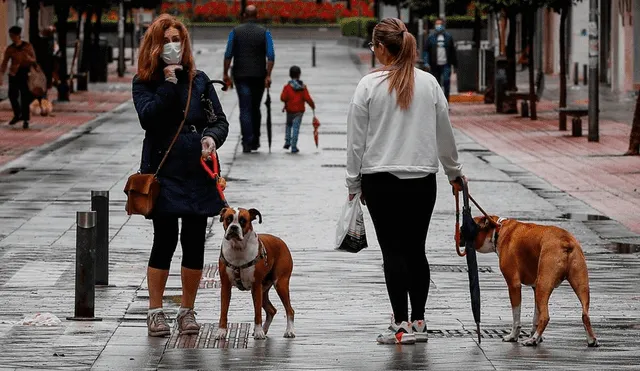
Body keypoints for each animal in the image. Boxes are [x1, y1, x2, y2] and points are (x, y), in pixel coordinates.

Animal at [214, 208, 296, 342]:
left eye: (243, 220)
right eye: (228, 219)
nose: (234, 227)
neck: (238, 247)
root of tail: (280, 241)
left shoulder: (256, 286)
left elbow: (257, 312)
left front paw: (258, 332)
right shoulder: (225, 287)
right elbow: (223, 311)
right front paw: (221, 332)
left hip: (280, 284)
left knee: (289, 310)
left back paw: (289, 331)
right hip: (264, 290)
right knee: (271, 310)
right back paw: (265, 329)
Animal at [470, 217, 600, 348]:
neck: (499, 229)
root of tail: (565, 241)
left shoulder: (514, 285)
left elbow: (517, 316)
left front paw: (513, 337)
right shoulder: (535, 287)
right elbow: (535, 316)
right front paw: (535, 335)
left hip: (543, 285)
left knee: (545, 316)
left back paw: (532, 340)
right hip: (580, 285)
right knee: (585, 314)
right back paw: (591, 340)